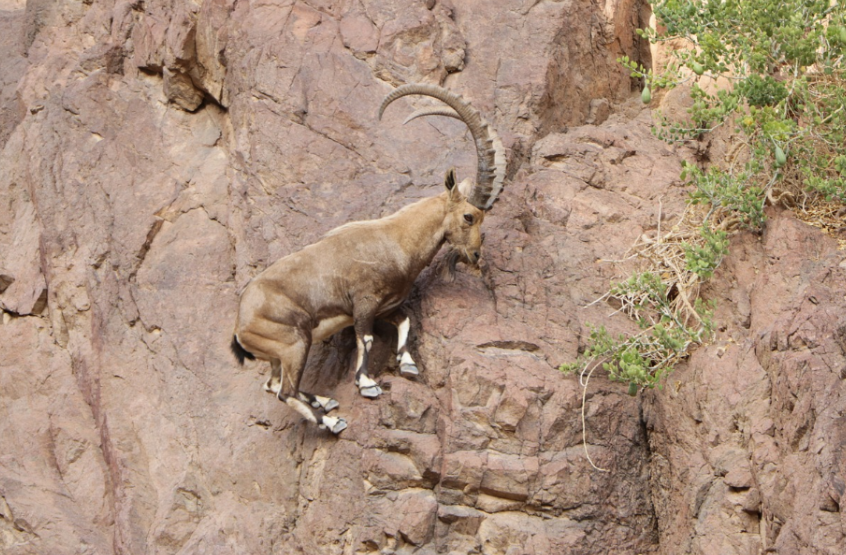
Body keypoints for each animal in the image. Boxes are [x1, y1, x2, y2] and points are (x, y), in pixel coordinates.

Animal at [232, 86, 506, 434]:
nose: (475, 255)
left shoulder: (385, 305)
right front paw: (367, 384)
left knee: (272, 385)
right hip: (293, 343)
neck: (396, 239)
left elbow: (405, 320)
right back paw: (332, 420)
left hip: (279, 353)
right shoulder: (363, 301)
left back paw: (324, 401)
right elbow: (366, 337)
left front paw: (408, 364)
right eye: (469, 216)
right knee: (284, 392)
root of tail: (239, 326)